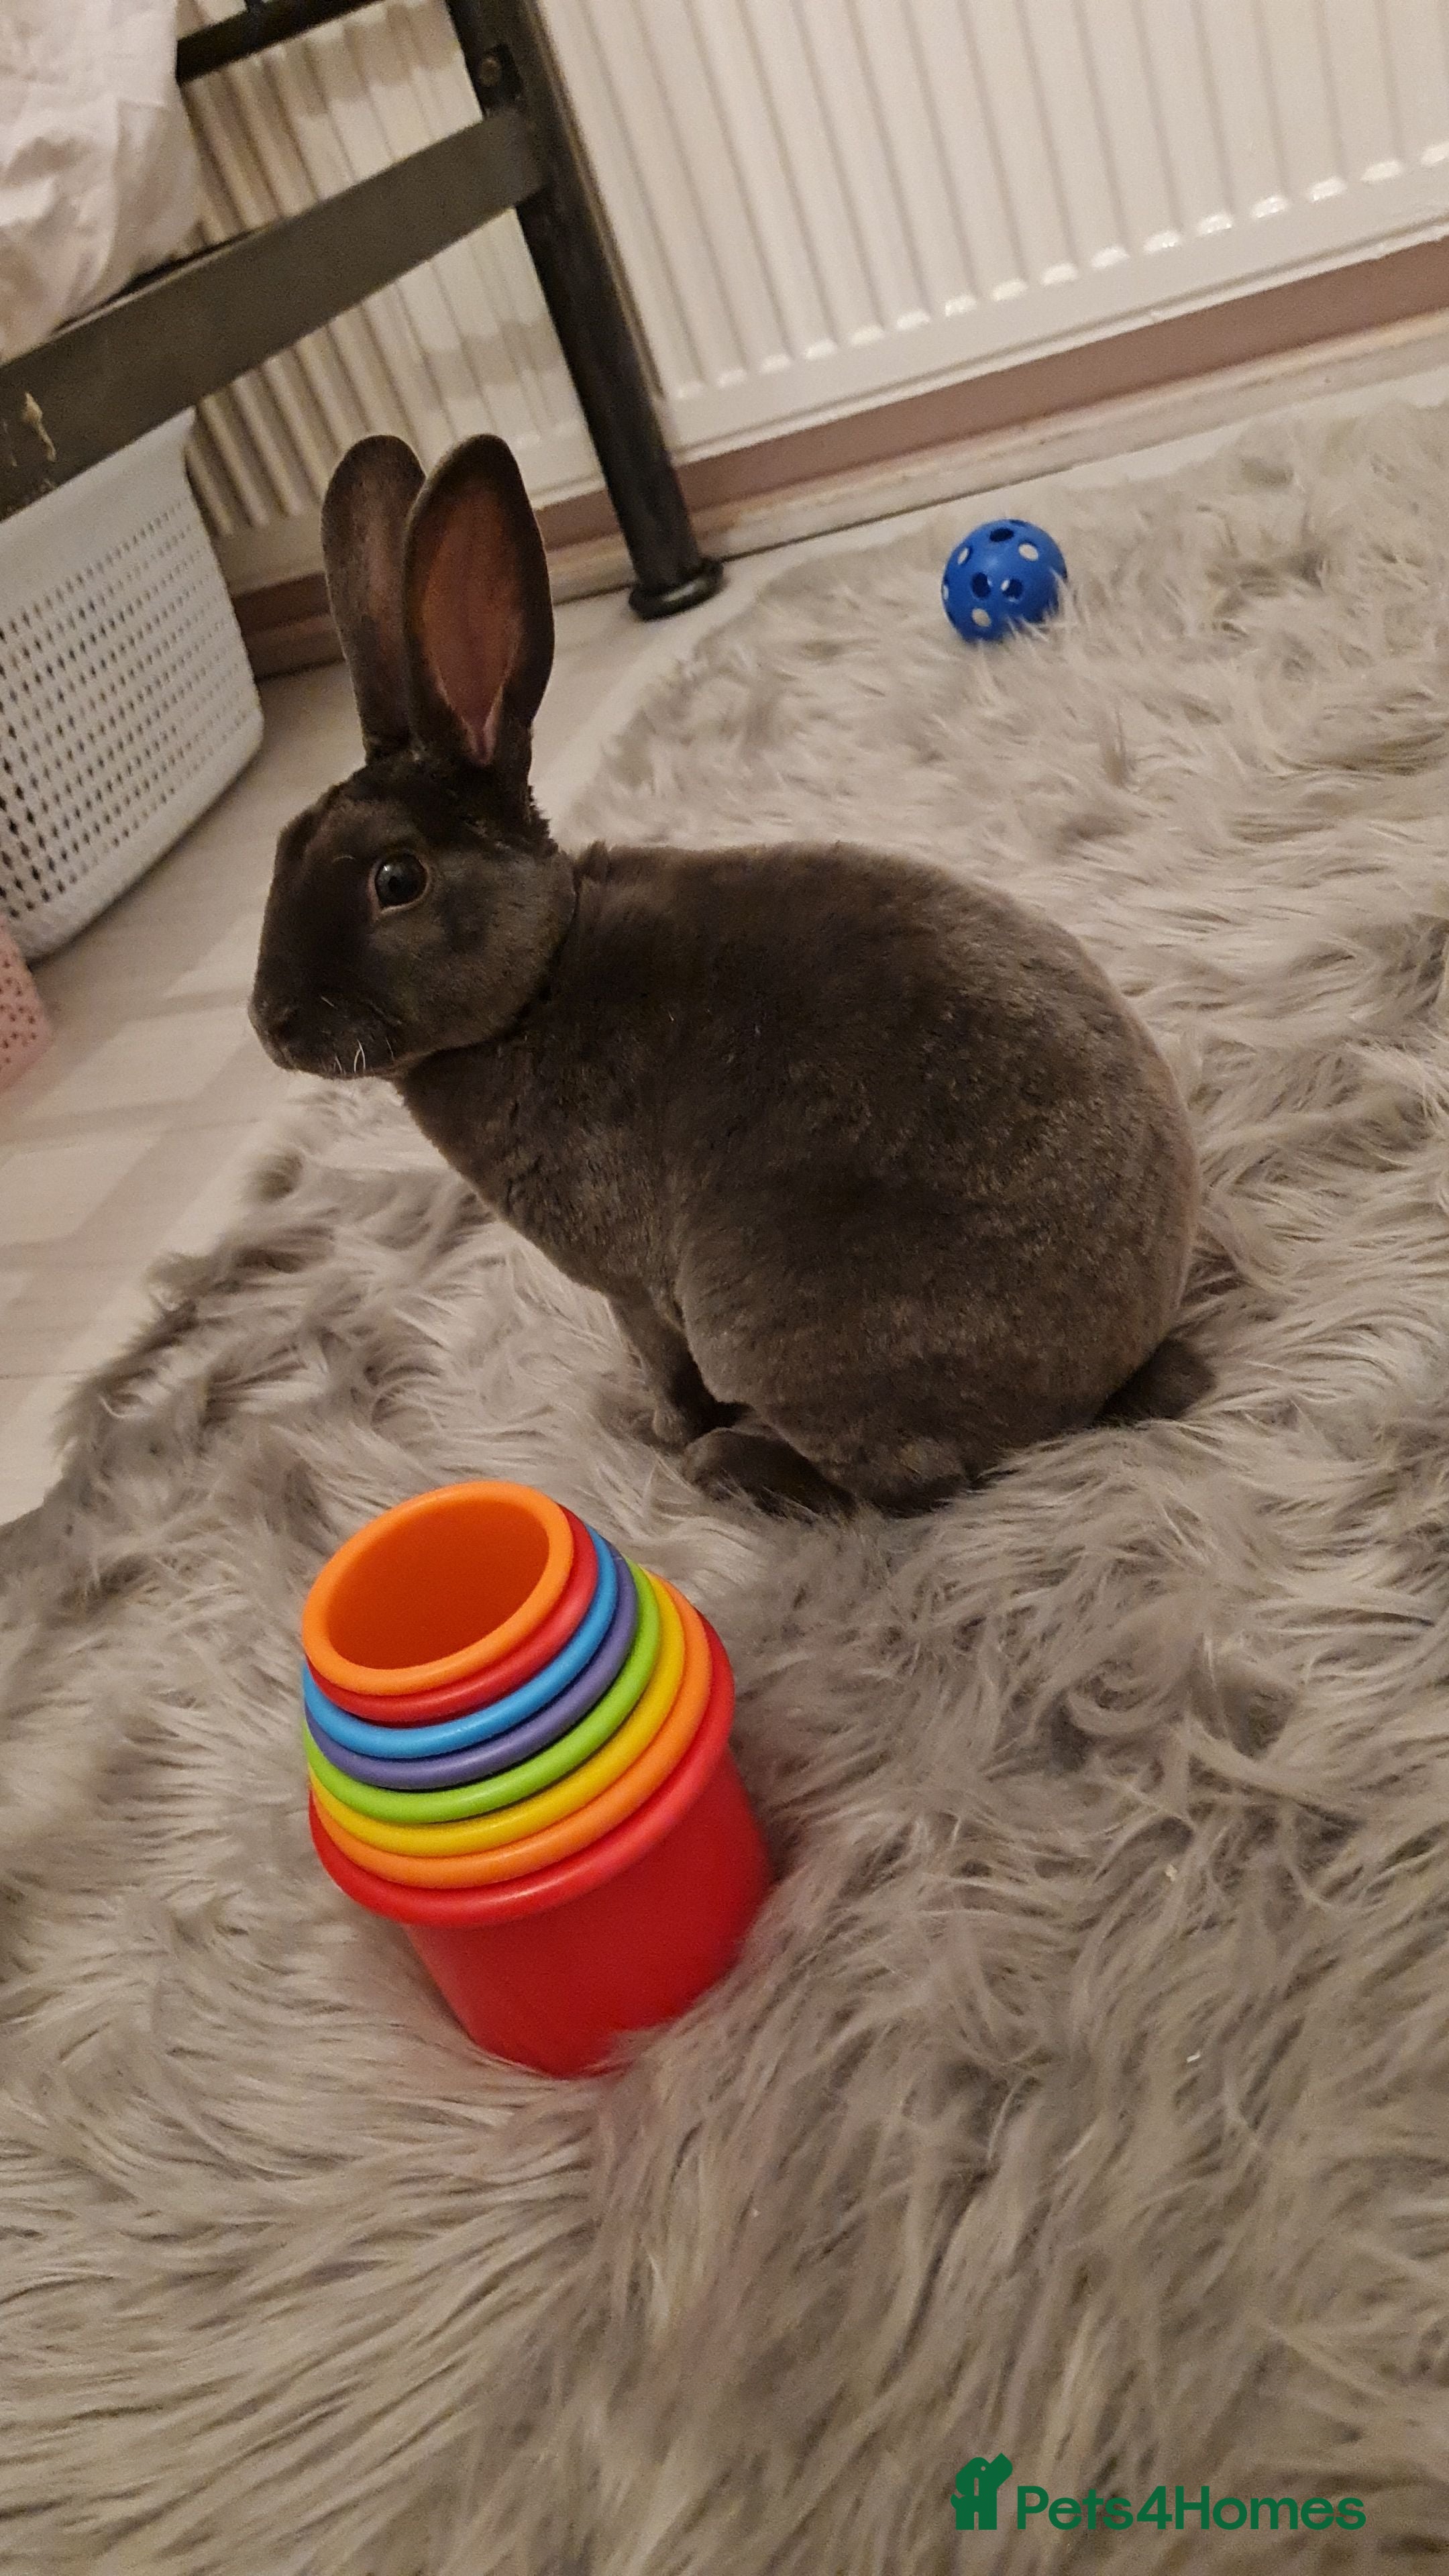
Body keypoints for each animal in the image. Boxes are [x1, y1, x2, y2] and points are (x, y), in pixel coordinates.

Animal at [250, 431, 1207, 1516]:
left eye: (396, 880)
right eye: (280, 851)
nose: (271, 1023)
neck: (538, 984)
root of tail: (1105, 1379)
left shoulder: (634, 1289)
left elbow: (666, 1366)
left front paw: (657, 1429)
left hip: (776, 1324)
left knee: (909, 1484)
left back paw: (727, 1467)